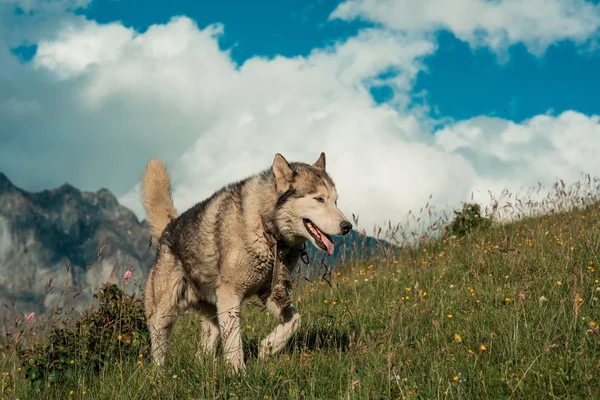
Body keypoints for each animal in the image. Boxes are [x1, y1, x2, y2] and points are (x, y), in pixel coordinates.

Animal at [141, 152, 352, 374]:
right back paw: (159, 374)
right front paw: (237, 372)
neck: (265, 226)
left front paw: (268, 347)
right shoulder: (230, 294)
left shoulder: (271, 292)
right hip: (164, 312)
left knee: (202, 351)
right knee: (158, 345)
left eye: (336, 201)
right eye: (319, 199)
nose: (347, 226)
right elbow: (235, 340)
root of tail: (169, 226)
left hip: (213, 315)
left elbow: (295, 320)